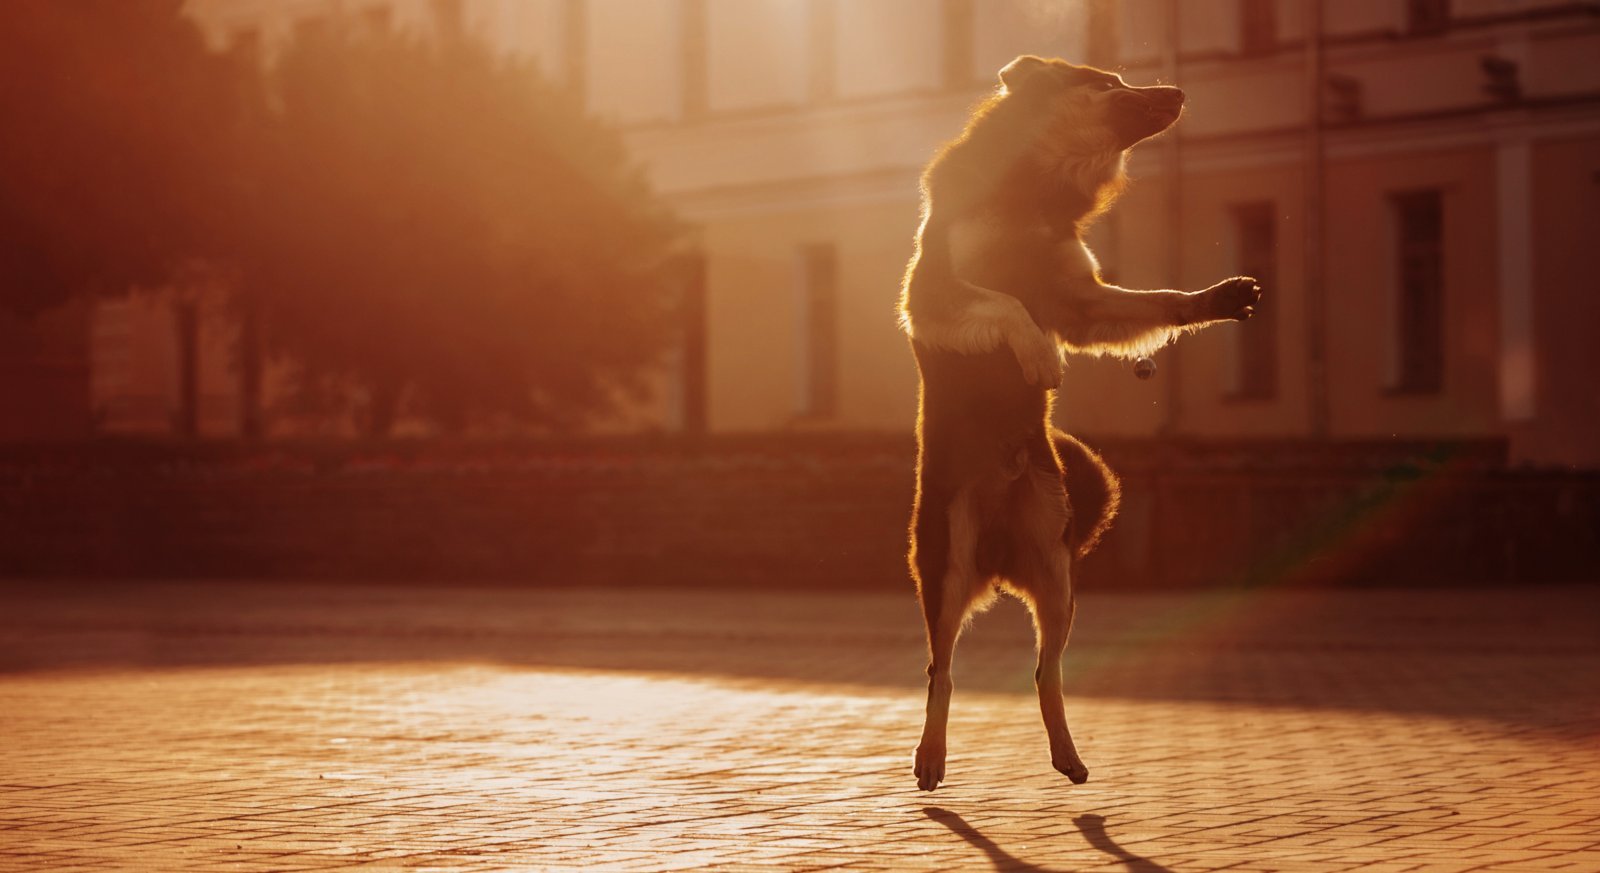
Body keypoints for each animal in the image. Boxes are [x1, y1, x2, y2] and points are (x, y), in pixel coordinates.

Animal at [902, 55, 1260, 786]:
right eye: (1111, 83)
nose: (1179, 90)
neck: (1034, 188)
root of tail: (999, 553)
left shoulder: (1082, 300)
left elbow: (1156, 301)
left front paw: (1216, 297)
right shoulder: (931, 293)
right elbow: (1004, 303)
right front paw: (1039, 358)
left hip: (1058, 572)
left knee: (1047, 670)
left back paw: (1067, 754)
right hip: (946, 558)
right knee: (940, 669)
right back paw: (931, 753)